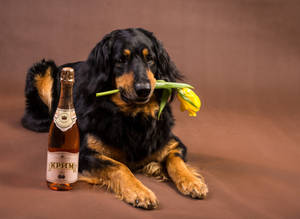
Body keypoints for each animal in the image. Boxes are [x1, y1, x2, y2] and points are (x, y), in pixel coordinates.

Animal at [21, 28, 209, 210]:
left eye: (150, 59)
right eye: (121, 60)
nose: (144, 89)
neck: (134, 116)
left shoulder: (172, 142)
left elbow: (176, 160)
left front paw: (192, 181)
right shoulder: (85, 153)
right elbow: (119, 166)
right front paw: (140, 192)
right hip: (44, 69)